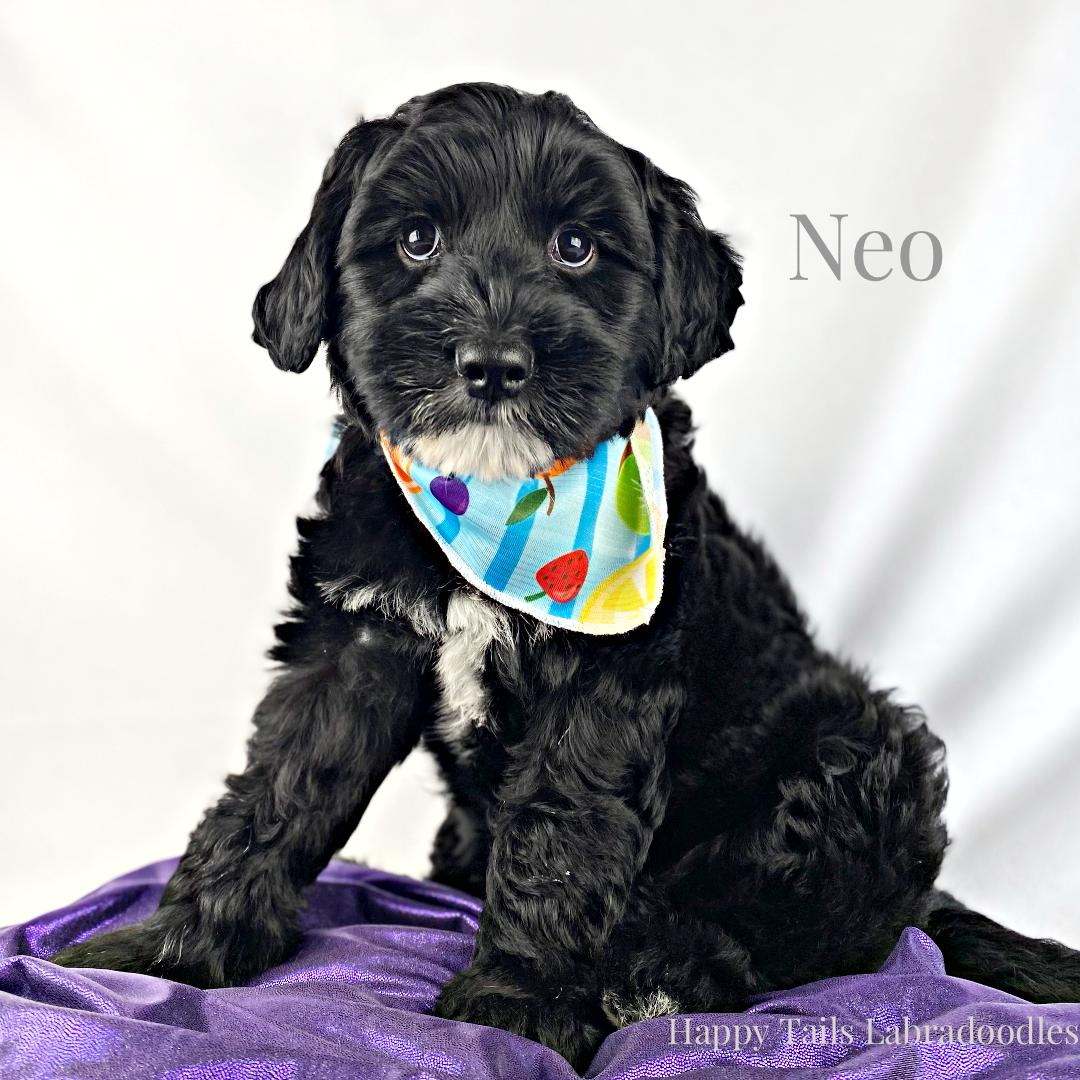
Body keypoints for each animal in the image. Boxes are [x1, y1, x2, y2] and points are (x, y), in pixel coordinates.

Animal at [53, 82, 1080, 1070]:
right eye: (416, 239)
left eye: (576, 248)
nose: (493, 364)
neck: (494, 506)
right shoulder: (353, 642)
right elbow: (278, 788)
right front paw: (175, 945)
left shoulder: (609, 679)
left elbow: (561, 829)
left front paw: (516, 1002)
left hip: (857, 745)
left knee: (819, 927)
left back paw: (662, 966)